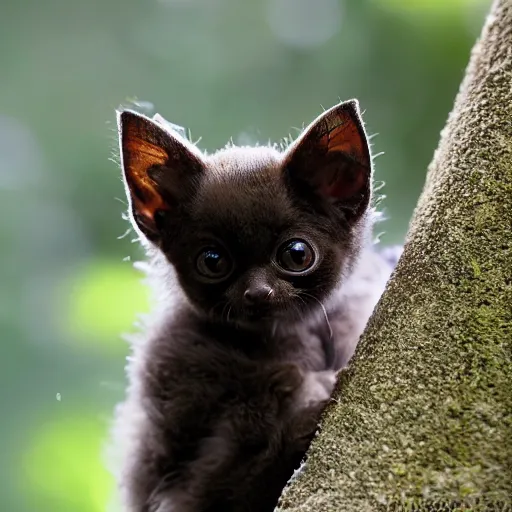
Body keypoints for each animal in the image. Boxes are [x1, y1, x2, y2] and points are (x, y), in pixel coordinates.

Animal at [110, 100, 400, 512]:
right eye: (213, 261)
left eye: (297, 255)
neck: (290, 333)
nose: (258, 292)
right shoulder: (175, 363)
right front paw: (309, 405)